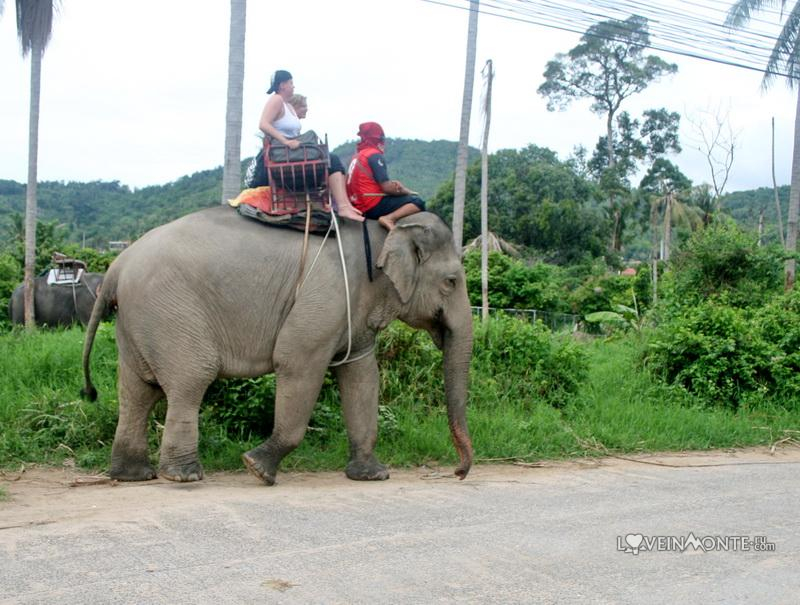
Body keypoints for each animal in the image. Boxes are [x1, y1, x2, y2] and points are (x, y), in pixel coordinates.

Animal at [83, 208, 476, 486]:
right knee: (191, 379)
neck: (383, 229)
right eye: (451, 281)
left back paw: (132, 475)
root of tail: (116, 266)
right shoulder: (326, 296)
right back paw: (183, 476)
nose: (458, 472)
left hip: (138, 319)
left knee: (137, 389)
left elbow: (362, 375)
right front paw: (257, 469)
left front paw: (373, 476)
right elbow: (297, 362)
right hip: (169, 311)